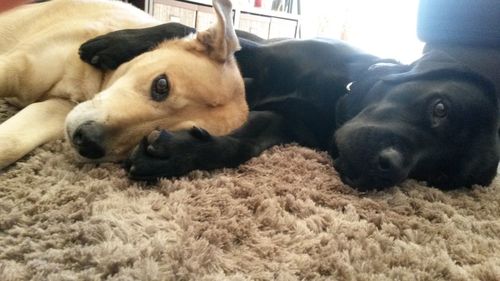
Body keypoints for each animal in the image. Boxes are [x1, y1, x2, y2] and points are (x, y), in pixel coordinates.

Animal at [79, 22, 500, 190]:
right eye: (440, 108)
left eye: (438, 176)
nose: (389, 168)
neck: (339, 97)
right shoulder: (264, 54)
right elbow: (178, 29)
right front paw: (114, 44)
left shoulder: (285, 124)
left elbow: (242, 142)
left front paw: (177, 153)